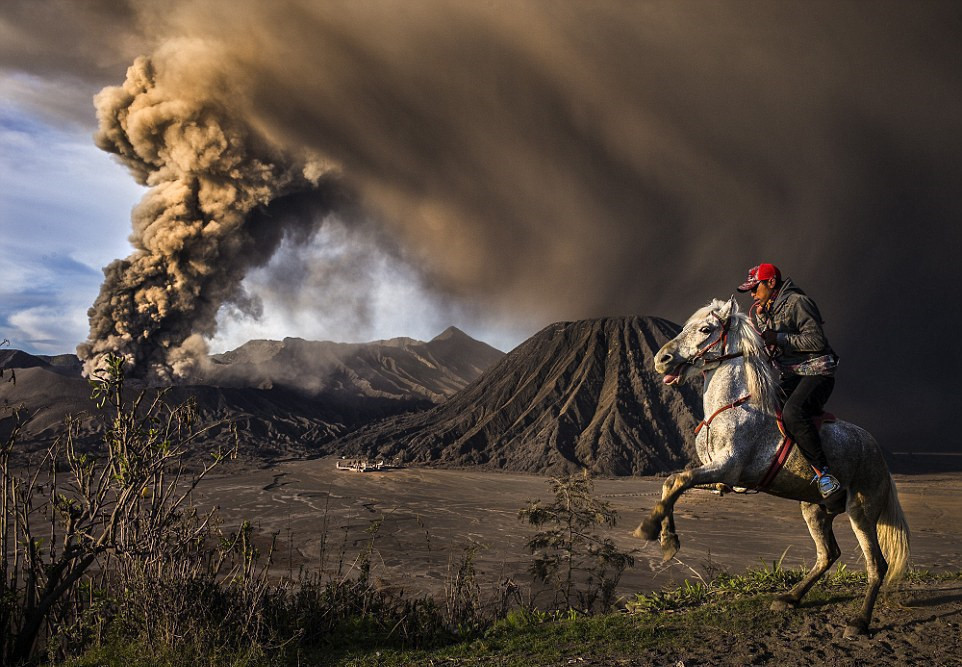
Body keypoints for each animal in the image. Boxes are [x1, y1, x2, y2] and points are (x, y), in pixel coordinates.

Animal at [636, 296, 908, 636]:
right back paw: (789, 598)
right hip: (815, 509)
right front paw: (667, 539)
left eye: (705, 329)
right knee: (828, 554)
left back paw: (858, 622)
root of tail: (876, 452)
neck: (735, 406)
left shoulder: (727, 467)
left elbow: (678, 481)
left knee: (877, 565)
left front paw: (651, 530)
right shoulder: (720, 479)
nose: (662, 359)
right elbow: (672, 483)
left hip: (862, 510)